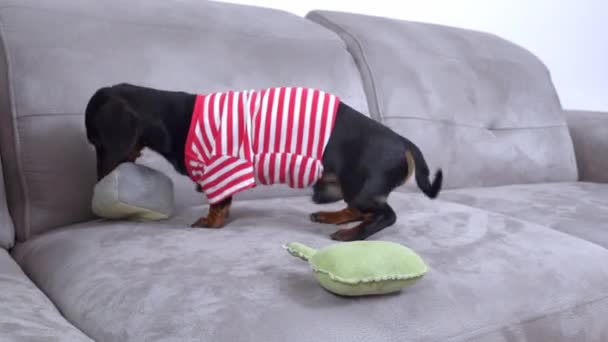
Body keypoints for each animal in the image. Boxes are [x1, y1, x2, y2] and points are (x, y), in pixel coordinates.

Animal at [84, 83, 442, 240]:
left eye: (97, 142)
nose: (98, 181)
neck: (174, 117)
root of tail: (403, 141)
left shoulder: (221, 167)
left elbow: (218, 204)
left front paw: (210, 222)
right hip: (346, 186)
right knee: (360, 210)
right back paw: (336, 218)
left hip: (360, 186)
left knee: (386, 215)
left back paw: (353, 234)